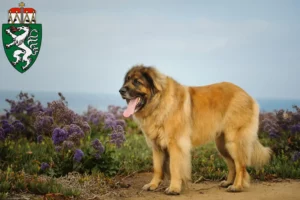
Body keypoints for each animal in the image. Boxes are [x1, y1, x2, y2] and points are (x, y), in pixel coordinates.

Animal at [119, 64, 272, 195]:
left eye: (137, 82)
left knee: (240, 165)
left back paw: (237, 186)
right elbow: (157, 168)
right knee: (232, 164)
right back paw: (228, 182)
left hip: (233, 142)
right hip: (222, 145)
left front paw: (174, 188)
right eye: (126, 80)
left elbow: (174, 167)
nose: (121, 90)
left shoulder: (176, 145)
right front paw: (153, 185)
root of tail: (247, 95)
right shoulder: (157, 146)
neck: (158, 102)